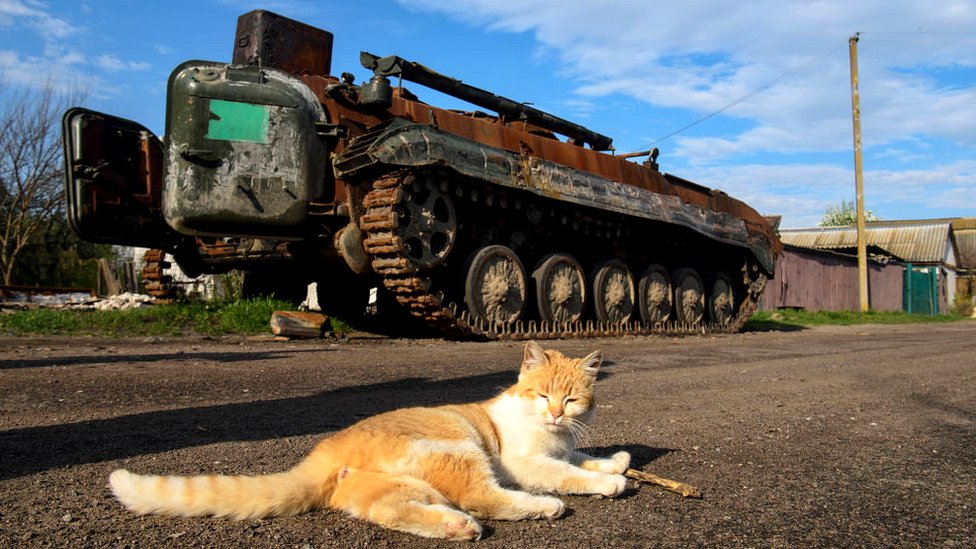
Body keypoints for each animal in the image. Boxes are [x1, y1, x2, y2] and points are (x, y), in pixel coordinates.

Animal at [110, 340, 632, 536]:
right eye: (542, 394)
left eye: (571, 399)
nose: (554, 413)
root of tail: (327, 449)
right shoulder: (526, 463)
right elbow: (567, 473)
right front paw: (609, 481)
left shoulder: (567, 444)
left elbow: (583, 457)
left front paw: (616, 462)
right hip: (458, 448)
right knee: (483, 496)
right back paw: (539, 508)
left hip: (389, 485)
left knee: (387, 509)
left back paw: (453, 526)